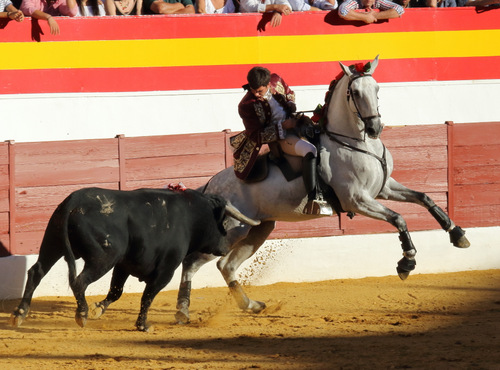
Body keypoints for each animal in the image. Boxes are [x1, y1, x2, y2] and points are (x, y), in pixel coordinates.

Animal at [9, 186, 260, 330]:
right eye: (222, 221)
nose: (225, 246)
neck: (190, 215)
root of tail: (74, 200)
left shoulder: (124, 265)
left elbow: (116, 292)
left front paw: (100, 308)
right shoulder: (165, 270)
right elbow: (147, 296)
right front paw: (142, 325)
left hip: (52, 244)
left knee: (37, 272)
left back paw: (20, 314)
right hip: (102, 258)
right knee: (79, 281)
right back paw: (82, 315)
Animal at [174, 55, 470, 324]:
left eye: (376, 88)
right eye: (354, 92)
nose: (375, 127)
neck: (355, 143)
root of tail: (210, 185)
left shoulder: (384, 188)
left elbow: (425, 198)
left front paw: (457, 235)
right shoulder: (357, 200)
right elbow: (399, 218)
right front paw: (406, 263)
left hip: (258, 229)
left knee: (226, 265)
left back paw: (251, 305)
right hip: (232, 229)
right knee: (193, 262)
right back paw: (182, 312)